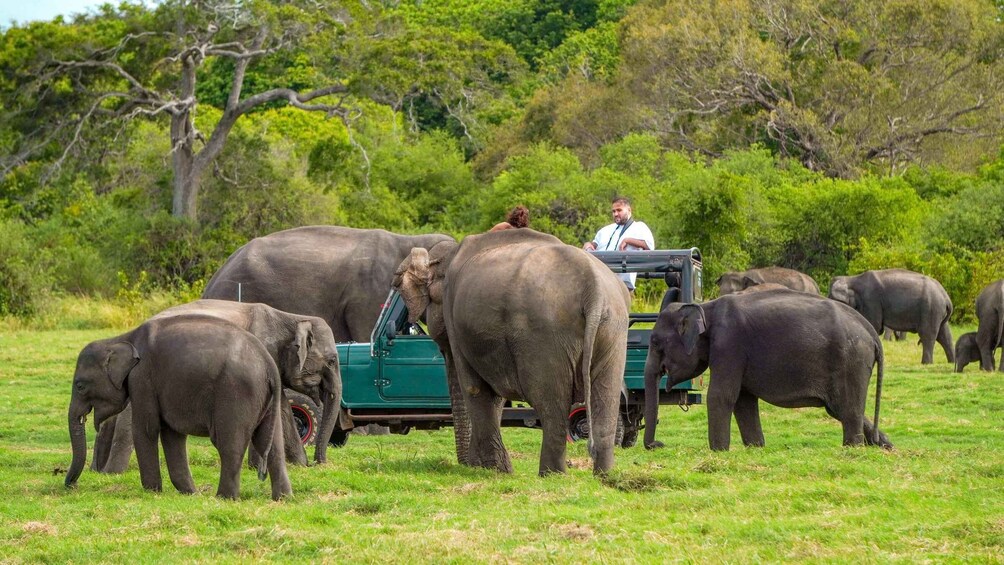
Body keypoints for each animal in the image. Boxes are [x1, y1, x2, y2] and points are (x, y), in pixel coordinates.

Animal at [66, 315, 293, 500]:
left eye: (80, 385)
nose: (71, 485)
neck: (120, 339)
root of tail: (269, 364)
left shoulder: (142, 379)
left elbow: (146, 429)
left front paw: (152, 492)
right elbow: (172, 435)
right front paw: (191, 493)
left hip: (237, 392)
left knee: (230, 444)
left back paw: (224, 498)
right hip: (266, 398)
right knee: (272, 445)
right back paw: (282, 498)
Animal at [91, 299, 342, 473]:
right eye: (332, 361)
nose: (320, 463)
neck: (291, 318)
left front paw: (298, 465)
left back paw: (98, 470)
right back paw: (114, 472)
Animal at [394, 228, 630, 476]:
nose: (465, 464)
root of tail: (593, 288)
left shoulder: (454, 319)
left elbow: (474, 388)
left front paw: (496, 470)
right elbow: (494, 396)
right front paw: (493, 468)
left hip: (544, 334)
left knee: (550, 403)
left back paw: (551, 475)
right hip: (613, 328)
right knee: (607, 396)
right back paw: (604, 475)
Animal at [643, 287, 891, 451]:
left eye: (655, 342)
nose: (658, 444)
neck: (705, 308)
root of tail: (870, 331)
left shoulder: (729, 345)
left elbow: (721, 396)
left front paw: (719, 451)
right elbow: (743, 401)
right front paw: (756, 447)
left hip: (851, 361)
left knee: (848, 409)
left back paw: (853, 448)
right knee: (840, 408)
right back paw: (885, 445)